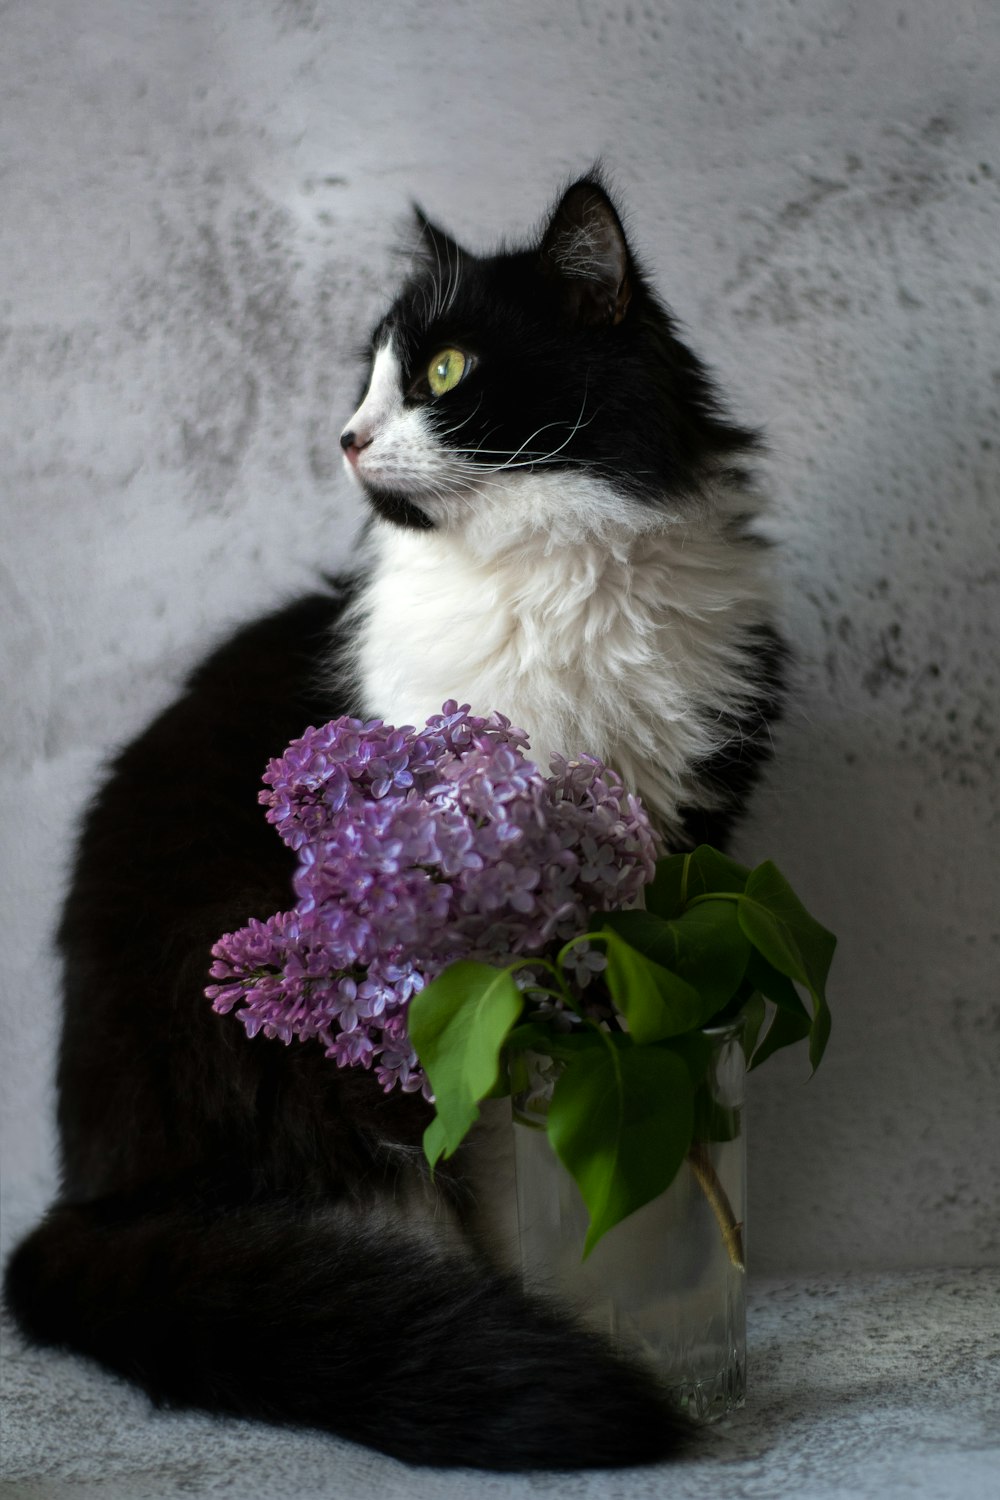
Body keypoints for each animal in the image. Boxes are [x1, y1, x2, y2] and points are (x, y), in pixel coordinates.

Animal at [3, 172, 785, 1464]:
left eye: (445, 370)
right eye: (365, 378)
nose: (345, 437)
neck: (546, 569)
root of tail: (90, 1195)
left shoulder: (675, 857)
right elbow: (501, 1137)